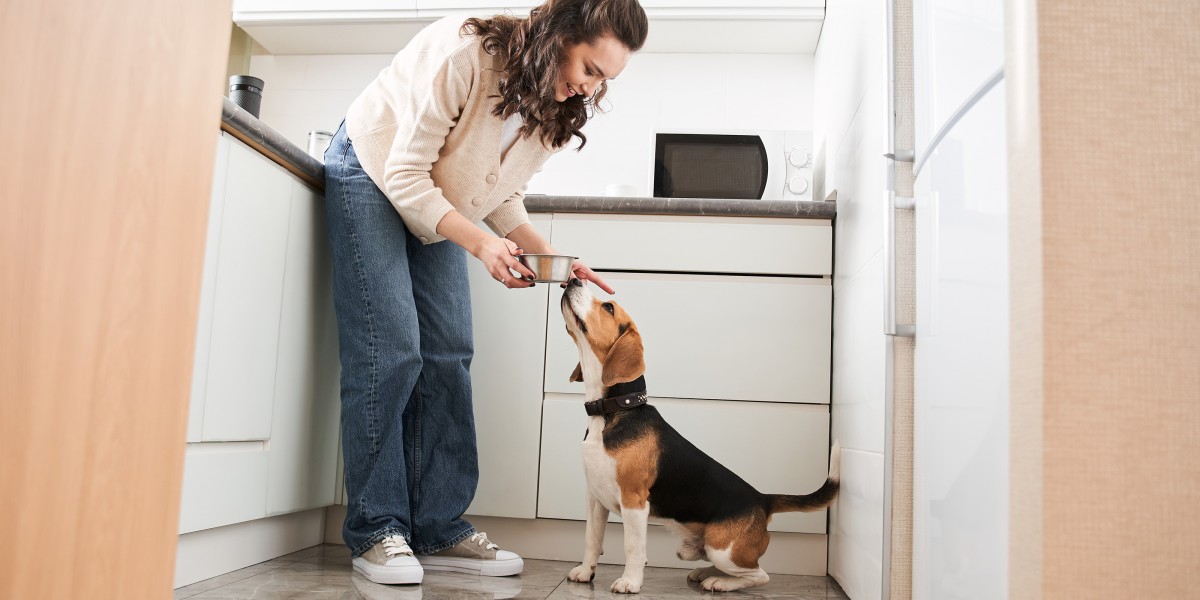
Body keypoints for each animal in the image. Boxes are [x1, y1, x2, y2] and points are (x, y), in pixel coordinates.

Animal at [556, 278, 840, 592]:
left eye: (608, 307)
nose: (573, 279)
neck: (611, 411)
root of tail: (763, 500)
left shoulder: (634, 502)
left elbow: (633, 548)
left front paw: (630, 582)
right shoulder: (595, 499)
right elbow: (591, 540)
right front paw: (585, 572)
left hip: (722, 548)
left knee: (760, 575)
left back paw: (719, 582)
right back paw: (705, 573)